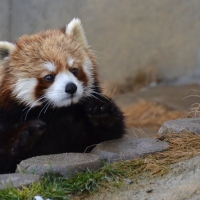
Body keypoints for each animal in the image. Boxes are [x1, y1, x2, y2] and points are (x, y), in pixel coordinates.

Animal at [0, 18, 125, 173]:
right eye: (49, 77)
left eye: (74, 70)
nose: (71, 87)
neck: (58, 112)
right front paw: (27, 132)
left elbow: (109, 137)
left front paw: (102, 111)